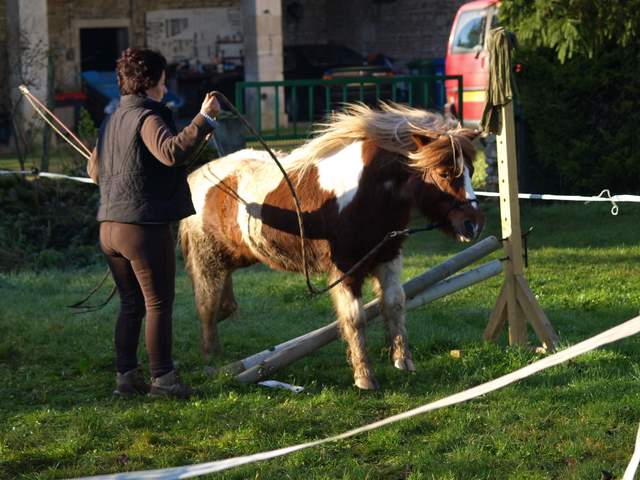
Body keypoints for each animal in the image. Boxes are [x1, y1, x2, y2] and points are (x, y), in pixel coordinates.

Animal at [178, 103, 482, 388]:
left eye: (470, 170)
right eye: (444, 173)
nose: (473, 225)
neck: (363, 193)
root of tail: (195, 176)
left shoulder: (388, 257)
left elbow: (395, 304)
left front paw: (403, 362)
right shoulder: (346, 270)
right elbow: (355, 319)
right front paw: (364, 377)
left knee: (223, 300)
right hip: (208, 260)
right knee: (206, 305)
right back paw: (213, 360)